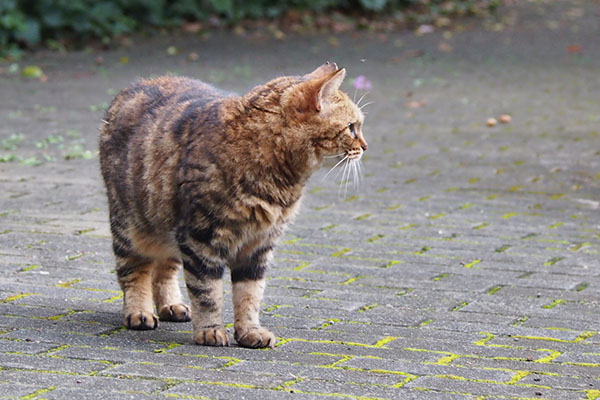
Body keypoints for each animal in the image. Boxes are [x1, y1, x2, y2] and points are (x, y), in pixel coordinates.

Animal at [99, 61, 366, 346]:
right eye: (352, 127)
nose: (365, 146)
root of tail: (137, 83)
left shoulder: (259, 245)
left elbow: (250, 294)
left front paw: (249, 331)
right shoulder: (200, 237)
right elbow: (207, 292)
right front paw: (210, 330)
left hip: (166, 226)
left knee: (164, 269)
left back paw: (171, 305)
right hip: (131, 227)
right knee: (134, 272)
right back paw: (139, 312)